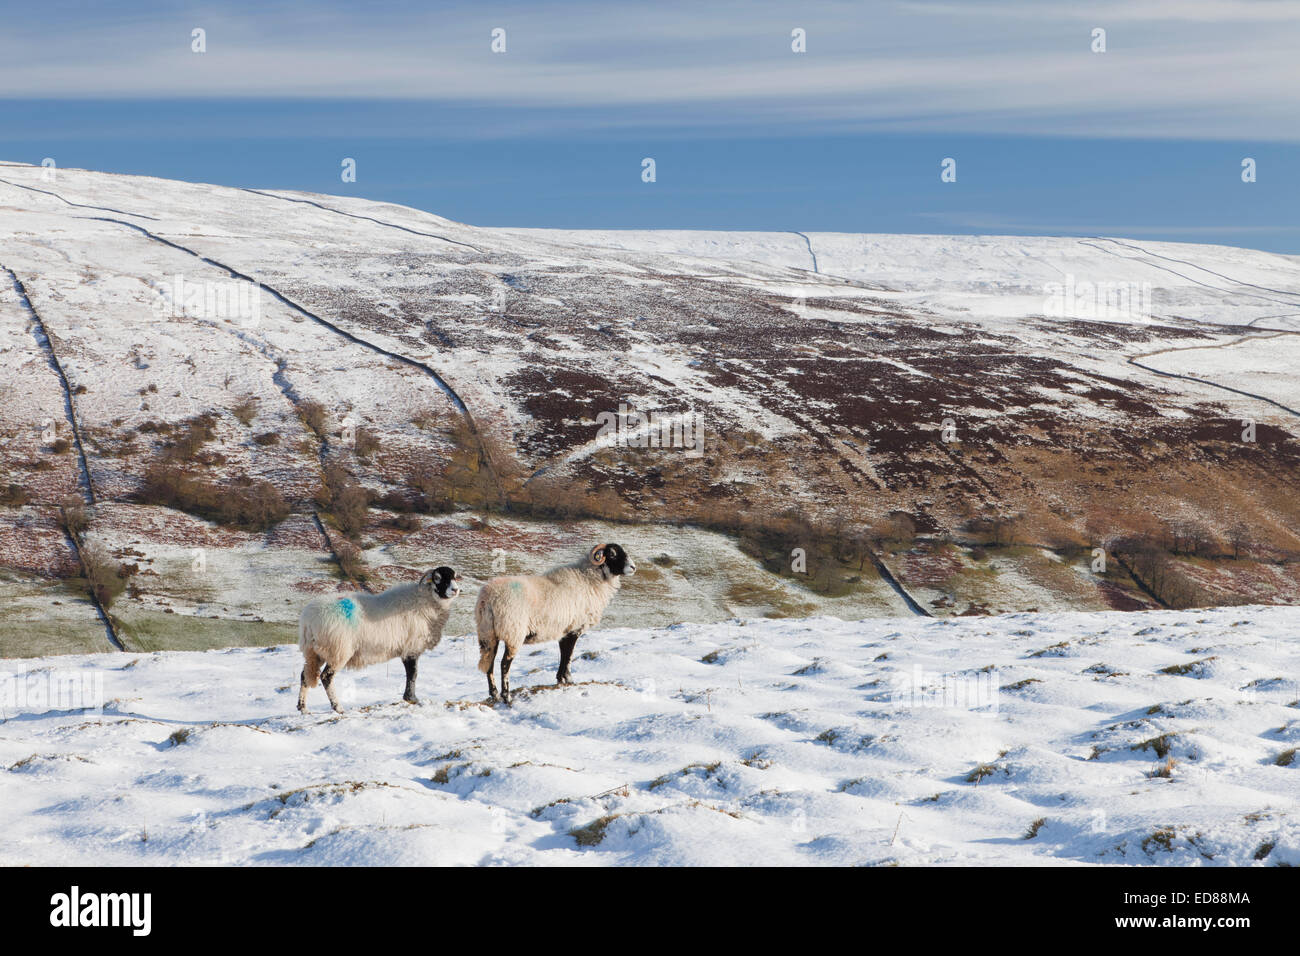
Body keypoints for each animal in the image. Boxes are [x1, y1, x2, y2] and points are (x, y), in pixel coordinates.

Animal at [296, 567, 462, 712]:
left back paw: (303, 708)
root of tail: (308, 619)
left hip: (313, 652)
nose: (455, 590)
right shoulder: (411, 647)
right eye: (437, 578)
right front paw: (412, 699)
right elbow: (413, 674)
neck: (425, 601)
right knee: (326, 677)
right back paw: (338, 707)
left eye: (454, 577)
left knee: (304, 675)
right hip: (337, 650)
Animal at [478, 541, 639, 707]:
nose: (633, 567)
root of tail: (490, 598)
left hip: (488, 634)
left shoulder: (564, 631)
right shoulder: (574, 629)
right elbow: (568, 655)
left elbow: (563, 654)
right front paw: (569, 679)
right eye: (612, 554)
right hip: (513, 633)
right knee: (504, 664)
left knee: (489, 663)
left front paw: (560, 679)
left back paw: (494, 694)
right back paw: (507, 697)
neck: (589, 580)